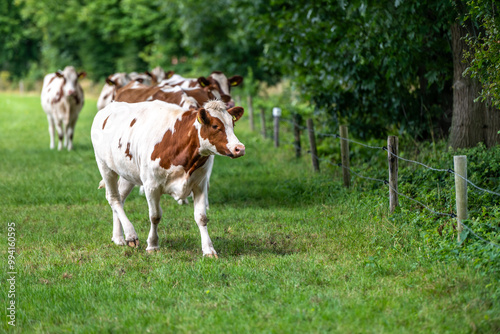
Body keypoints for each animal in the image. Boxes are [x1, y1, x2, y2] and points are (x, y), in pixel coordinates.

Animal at [92, 99, 246, 256]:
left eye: (232, 124)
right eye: (215, 126)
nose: (240, 148)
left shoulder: (200, 184)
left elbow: (201, 217)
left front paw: (208, 249)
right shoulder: (151, 185)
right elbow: (155, 216)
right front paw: (153, 245)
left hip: (128, 173)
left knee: (121, 197)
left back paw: (119, 237)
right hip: (105, 166)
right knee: (114, 198)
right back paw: (130, 235)